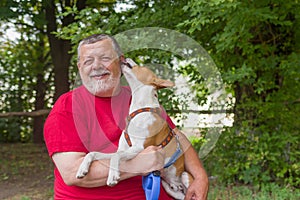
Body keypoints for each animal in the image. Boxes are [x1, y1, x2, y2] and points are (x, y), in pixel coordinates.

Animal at [76, 57, 193, 198]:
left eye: (141, 66)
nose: (122, 56)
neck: (139, 111)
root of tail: (178, 187)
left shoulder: (139, 148)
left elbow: (115, 157)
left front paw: (112, 176)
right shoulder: (123, 149)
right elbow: (93, 153)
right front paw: (82, 168)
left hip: (185, 176)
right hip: (169, 188)